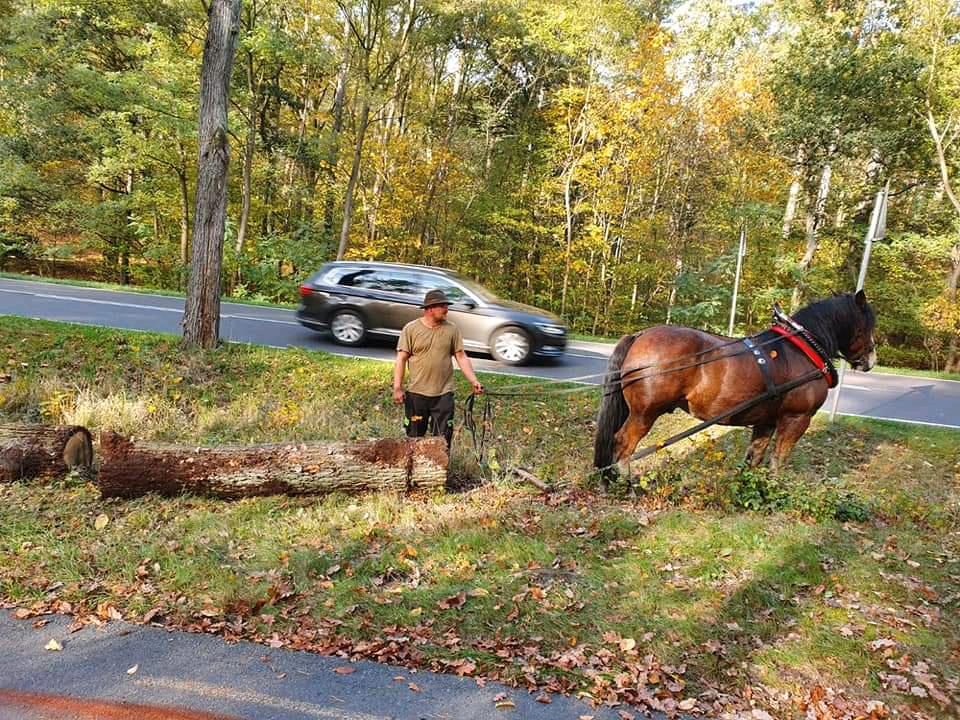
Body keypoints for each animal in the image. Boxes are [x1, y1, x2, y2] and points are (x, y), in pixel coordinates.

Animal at [596, 288, 880, 484]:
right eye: (867, 325)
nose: (871, 359)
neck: (802, 348)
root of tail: (640, 335)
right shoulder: (797, 419)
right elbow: (778, 459)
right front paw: (773, 490)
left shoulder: (767, 421)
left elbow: (754, 457)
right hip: (645, 413)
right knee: (623, 443)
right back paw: (625, 483)